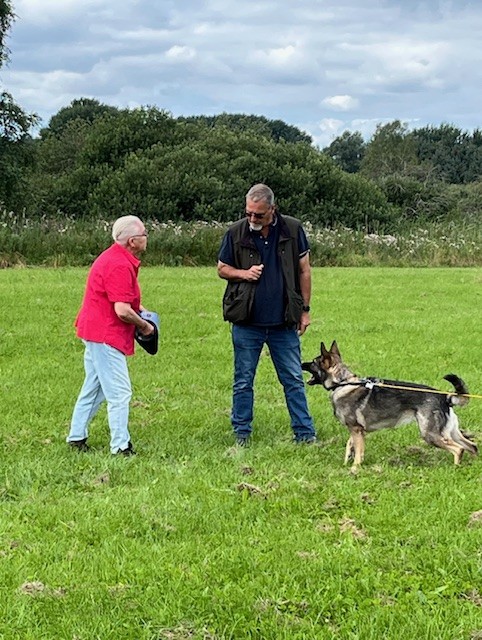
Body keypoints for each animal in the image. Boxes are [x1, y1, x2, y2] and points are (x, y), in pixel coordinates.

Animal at [302, 341, 477, 467]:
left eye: (313, 362)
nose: (302, 363)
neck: (343, 383)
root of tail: (445, 396)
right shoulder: (356, 431)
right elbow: (350, 446)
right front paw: (347, 464)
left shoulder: (356, 430)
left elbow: (357, 452)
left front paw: (354, 469)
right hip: (451, 432)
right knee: (472, 446)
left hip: (430, 435)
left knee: (459, 449)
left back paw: (456, 468)